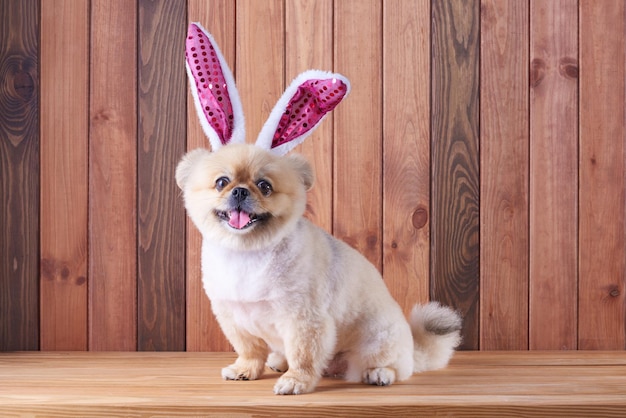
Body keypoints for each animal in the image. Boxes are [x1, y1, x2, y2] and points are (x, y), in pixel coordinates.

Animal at [176, 22, 458, 396]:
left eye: (264, 186)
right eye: (222, 182)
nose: (239, 191)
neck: (248, 255)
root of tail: (413, 348)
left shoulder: (304, 318)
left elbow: (305, 355)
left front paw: (296, 381)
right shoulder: (235, 317)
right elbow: (250, 350)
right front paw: (246, 369)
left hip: (379, 340)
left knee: (394, 366)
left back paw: (378, 373)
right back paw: (278, 362)